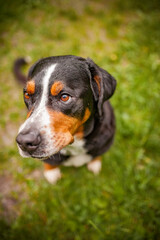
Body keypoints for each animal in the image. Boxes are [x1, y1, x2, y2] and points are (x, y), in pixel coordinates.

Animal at [14, 55, 116, 184]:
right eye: (27, 94)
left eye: (64, 97)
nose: (24, 141)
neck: (76, 143)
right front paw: (51, 172)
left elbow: (97, 154)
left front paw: (94, 163)